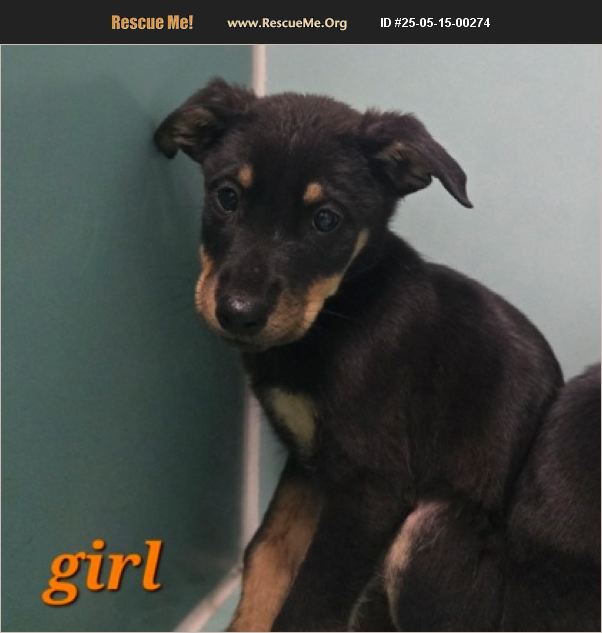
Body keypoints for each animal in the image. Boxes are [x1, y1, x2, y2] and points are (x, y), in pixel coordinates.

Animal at [154, 79, 596, 631]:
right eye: (226, 197)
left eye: (326, 220)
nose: (238, 313)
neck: (339, 315)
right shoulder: (309, 463)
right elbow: (267, 554)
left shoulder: (371, 488)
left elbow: (309, 603)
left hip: (431, 524)